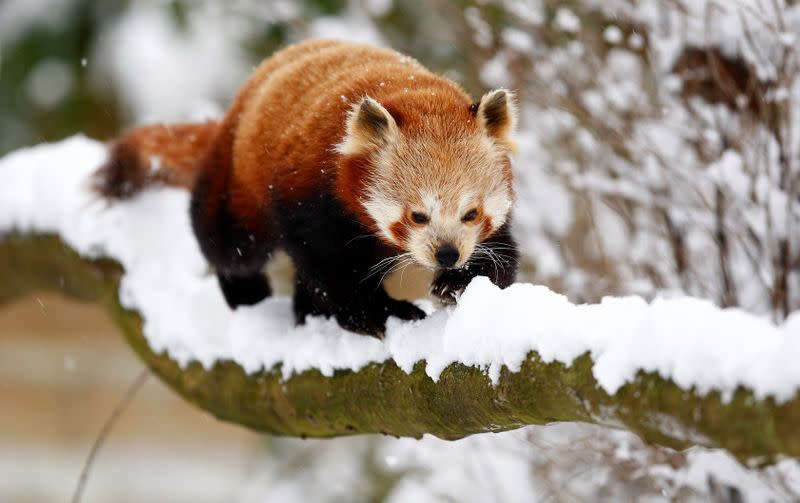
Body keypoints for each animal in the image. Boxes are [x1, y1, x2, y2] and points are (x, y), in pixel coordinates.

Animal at [95, 40, 520, 338]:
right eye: (418, 215)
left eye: (471, 213)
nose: (447, 254)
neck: (415, 94)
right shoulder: (311, 194)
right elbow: (328, 265)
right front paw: (373, 312)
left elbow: (501, 256)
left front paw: (459, 281)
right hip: (238, 175)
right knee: (229, 242)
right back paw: (244, 291)